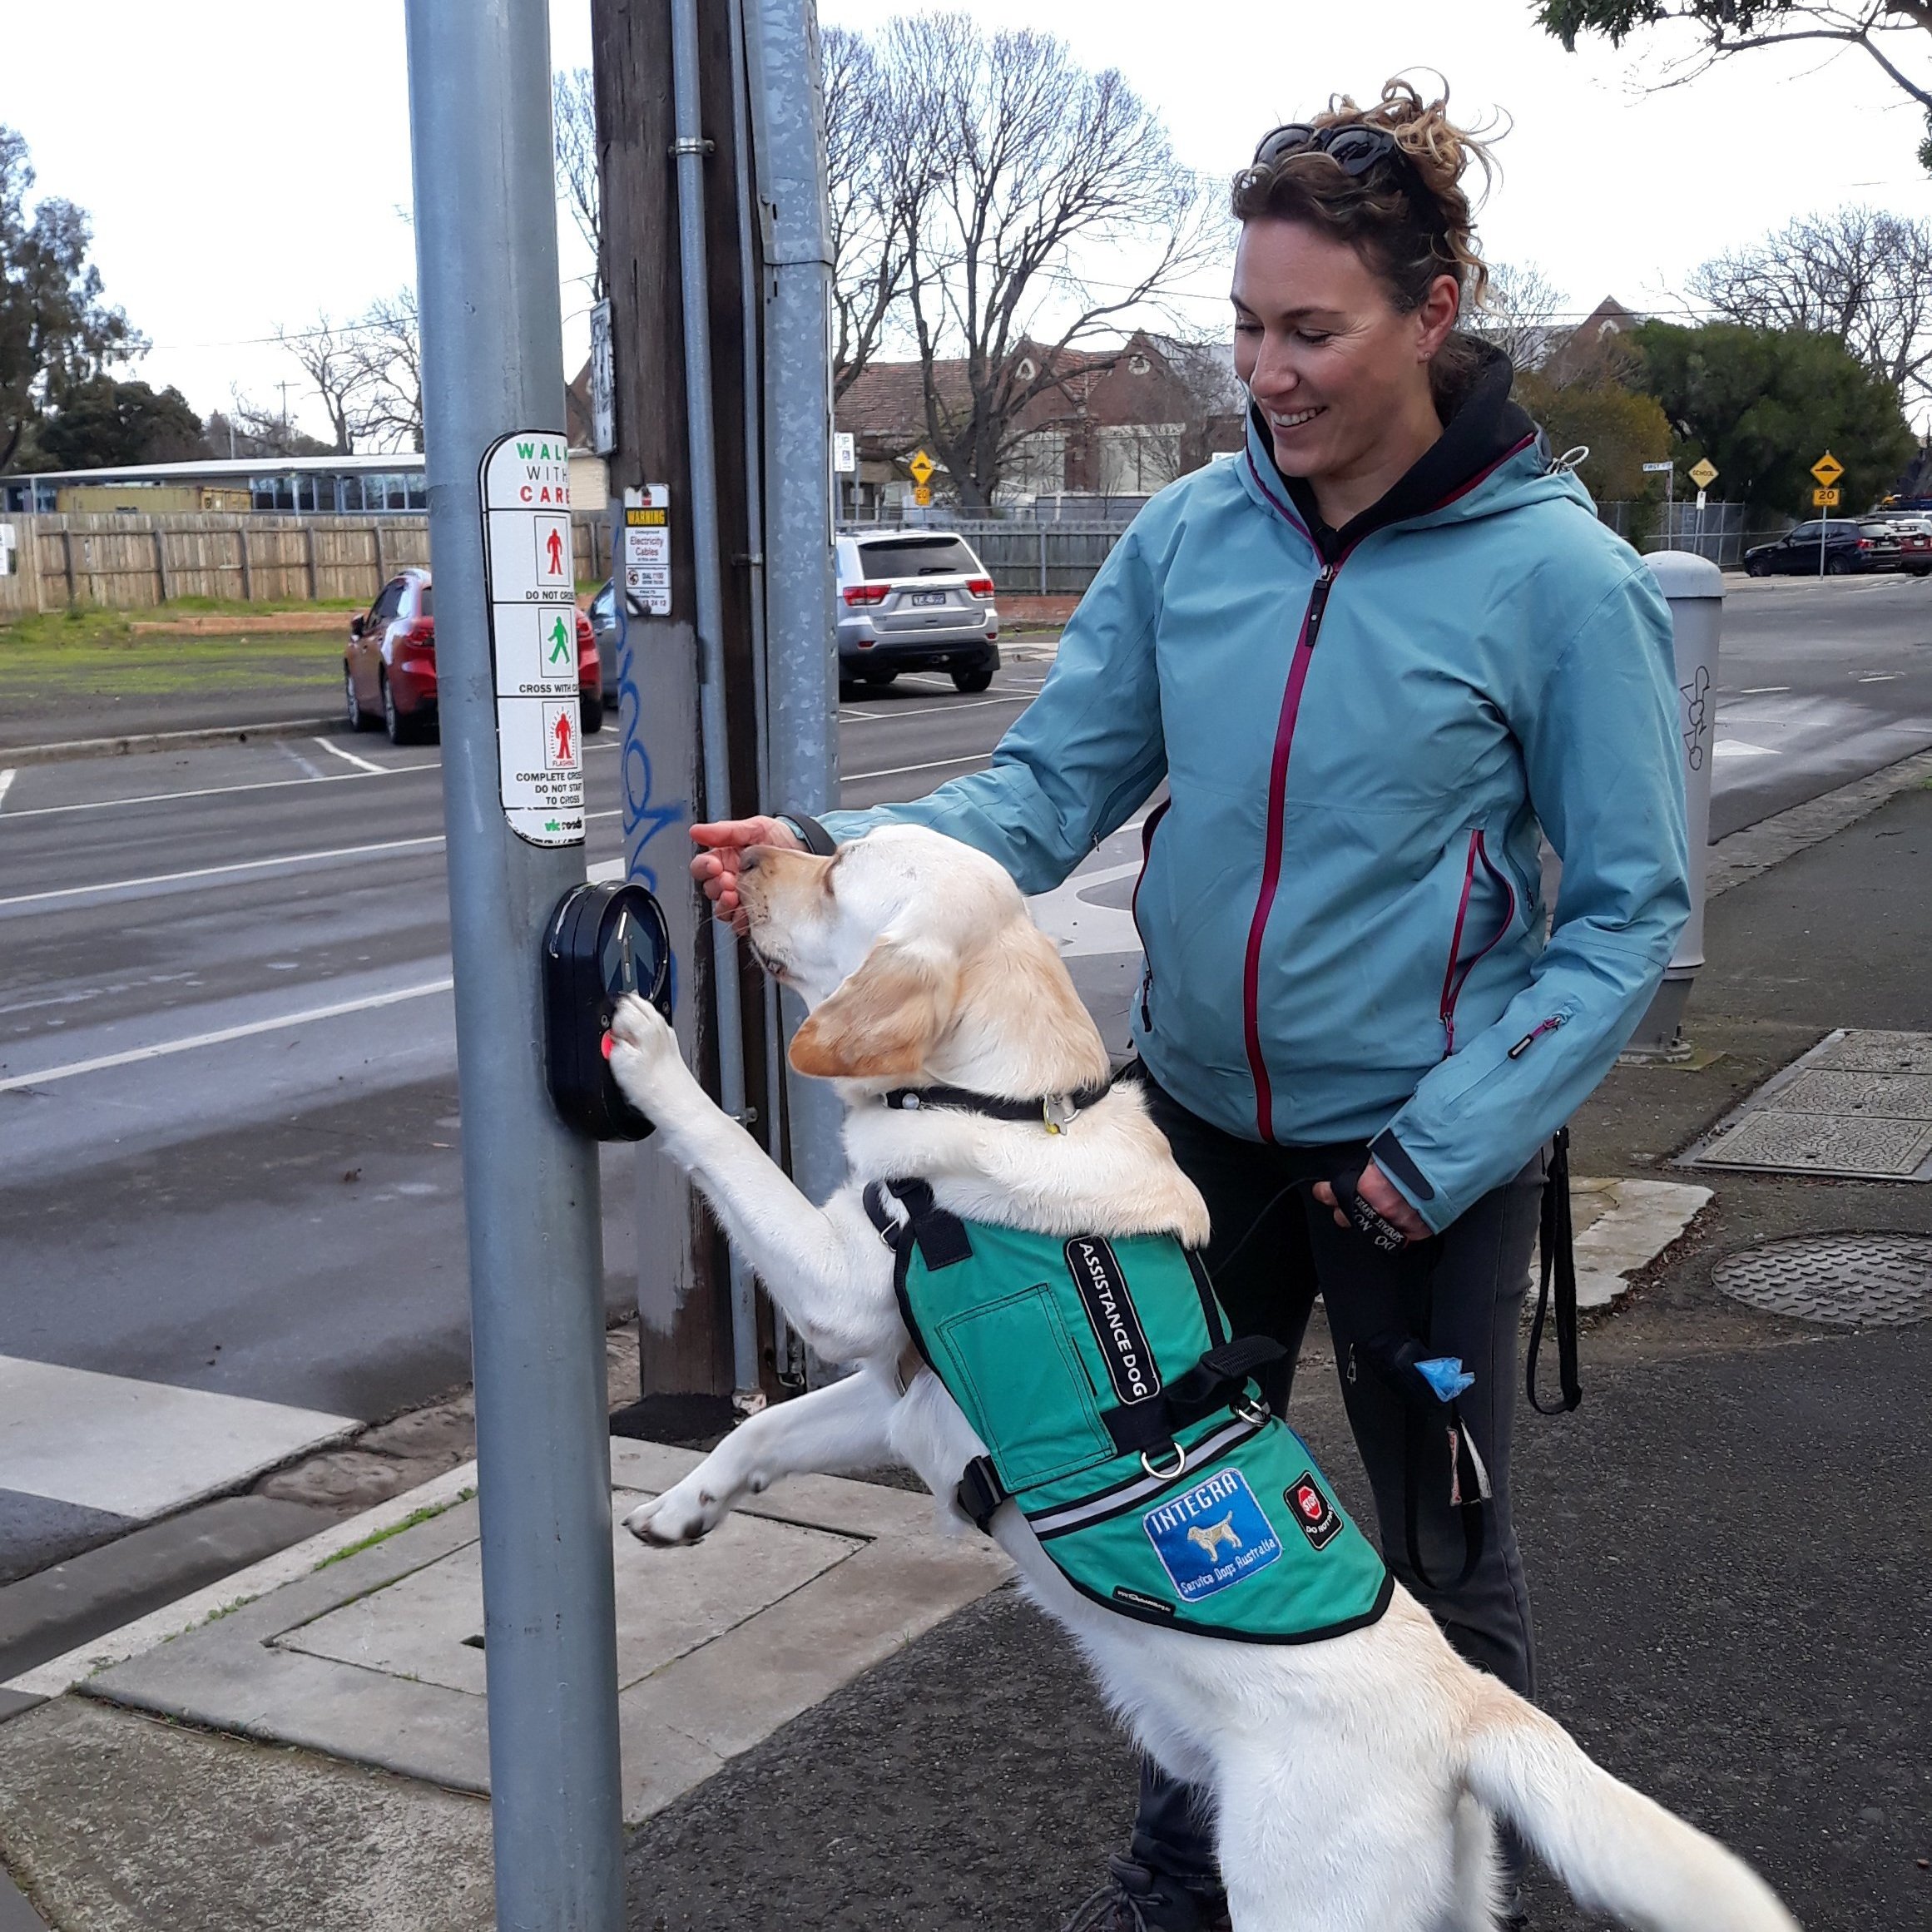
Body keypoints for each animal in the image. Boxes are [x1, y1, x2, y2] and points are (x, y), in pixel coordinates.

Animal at [607, 823, 1792, 1932]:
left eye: (841, 869)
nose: (741, 854)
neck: (1006, 1103)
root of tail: (1473, 1712)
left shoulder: (836, 1287)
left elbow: (726, 1149)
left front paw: (647, 1050)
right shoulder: (899, 1390)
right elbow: (758, 1434)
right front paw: (679, 1511)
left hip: (1304, 1897)